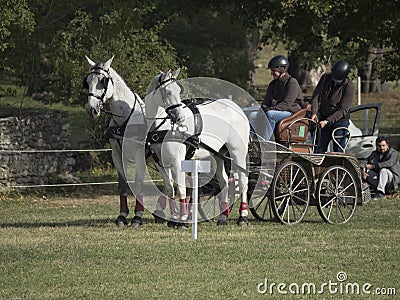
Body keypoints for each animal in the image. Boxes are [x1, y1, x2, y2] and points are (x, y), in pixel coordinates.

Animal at [83, 55, 149, 227]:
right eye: (88, 81)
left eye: (103, 81)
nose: (91, 109)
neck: (125, 119)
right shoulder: (117, 154)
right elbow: (122, 184)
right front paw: (122, 216)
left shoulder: (139, 154)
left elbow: (138, 183)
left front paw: (137, 217)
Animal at [144, 69, 250, 226]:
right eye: (168, 92)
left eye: (178, 90)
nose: (180, 118)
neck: (163, 127)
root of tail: (237, 108)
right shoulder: (161, 163)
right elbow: (169, 190)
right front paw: (173, 218)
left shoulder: (177, 161)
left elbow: (181, 189)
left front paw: (182, 219)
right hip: (218, 154)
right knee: (224, 182)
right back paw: (223, 216)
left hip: (238, 152)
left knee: (243, 181)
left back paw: (243, 216)